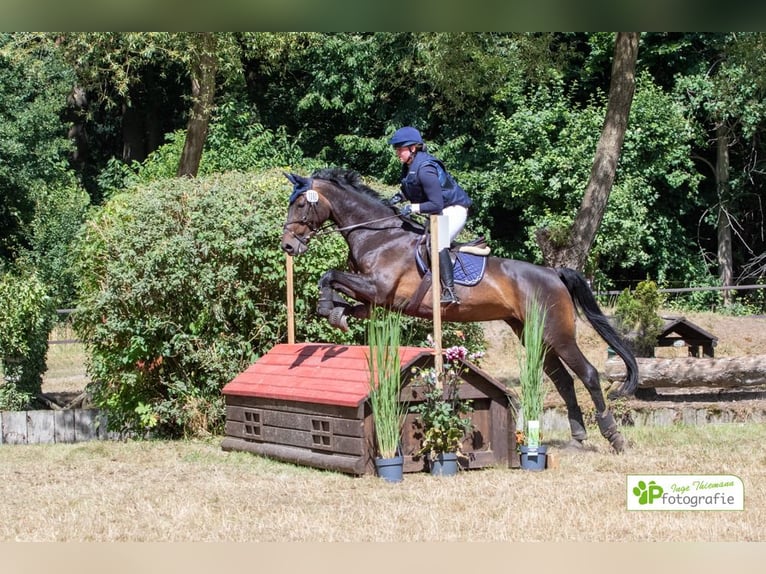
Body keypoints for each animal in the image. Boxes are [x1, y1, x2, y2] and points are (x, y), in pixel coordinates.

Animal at [282, 166, 640, 454]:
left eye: (300, 204)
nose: (287, 245)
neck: (379, 237)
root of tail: (554, 273)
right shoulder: (377, 301)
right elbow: (341, 291)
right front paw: (334, 312)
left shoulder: (379, 289)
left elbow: (330, 275)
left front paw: (327, 305)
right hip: (532, 333)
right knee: (563, 379)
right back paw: (578, 436)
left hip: (558, 333)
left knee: (588, 374)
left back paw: (614, 438)